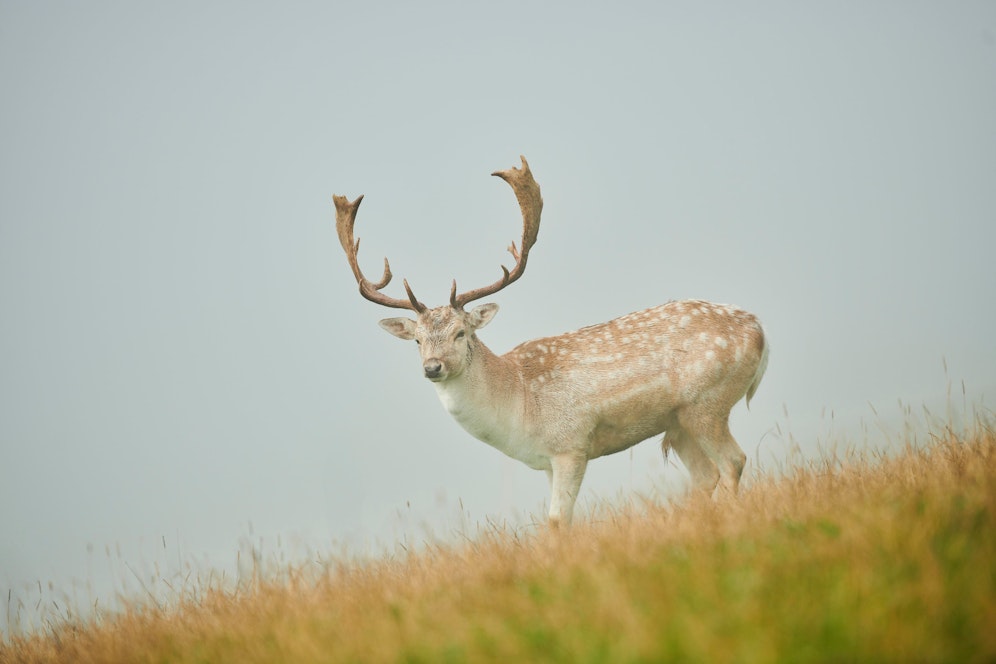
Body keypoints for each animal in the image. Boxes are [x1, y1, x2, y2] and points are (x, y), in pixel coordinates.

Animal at [334, 158, 772, 528]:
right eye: (418, 339)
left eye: (462, 332)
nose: (432, 367)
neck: (519, 403)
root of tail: (760, 332)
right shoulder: (547, 461)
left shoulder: (571, 445)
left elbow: (558, 521)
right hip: (679, 421)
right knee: (705, 476)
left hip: (707, 403)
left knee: (733, 461)